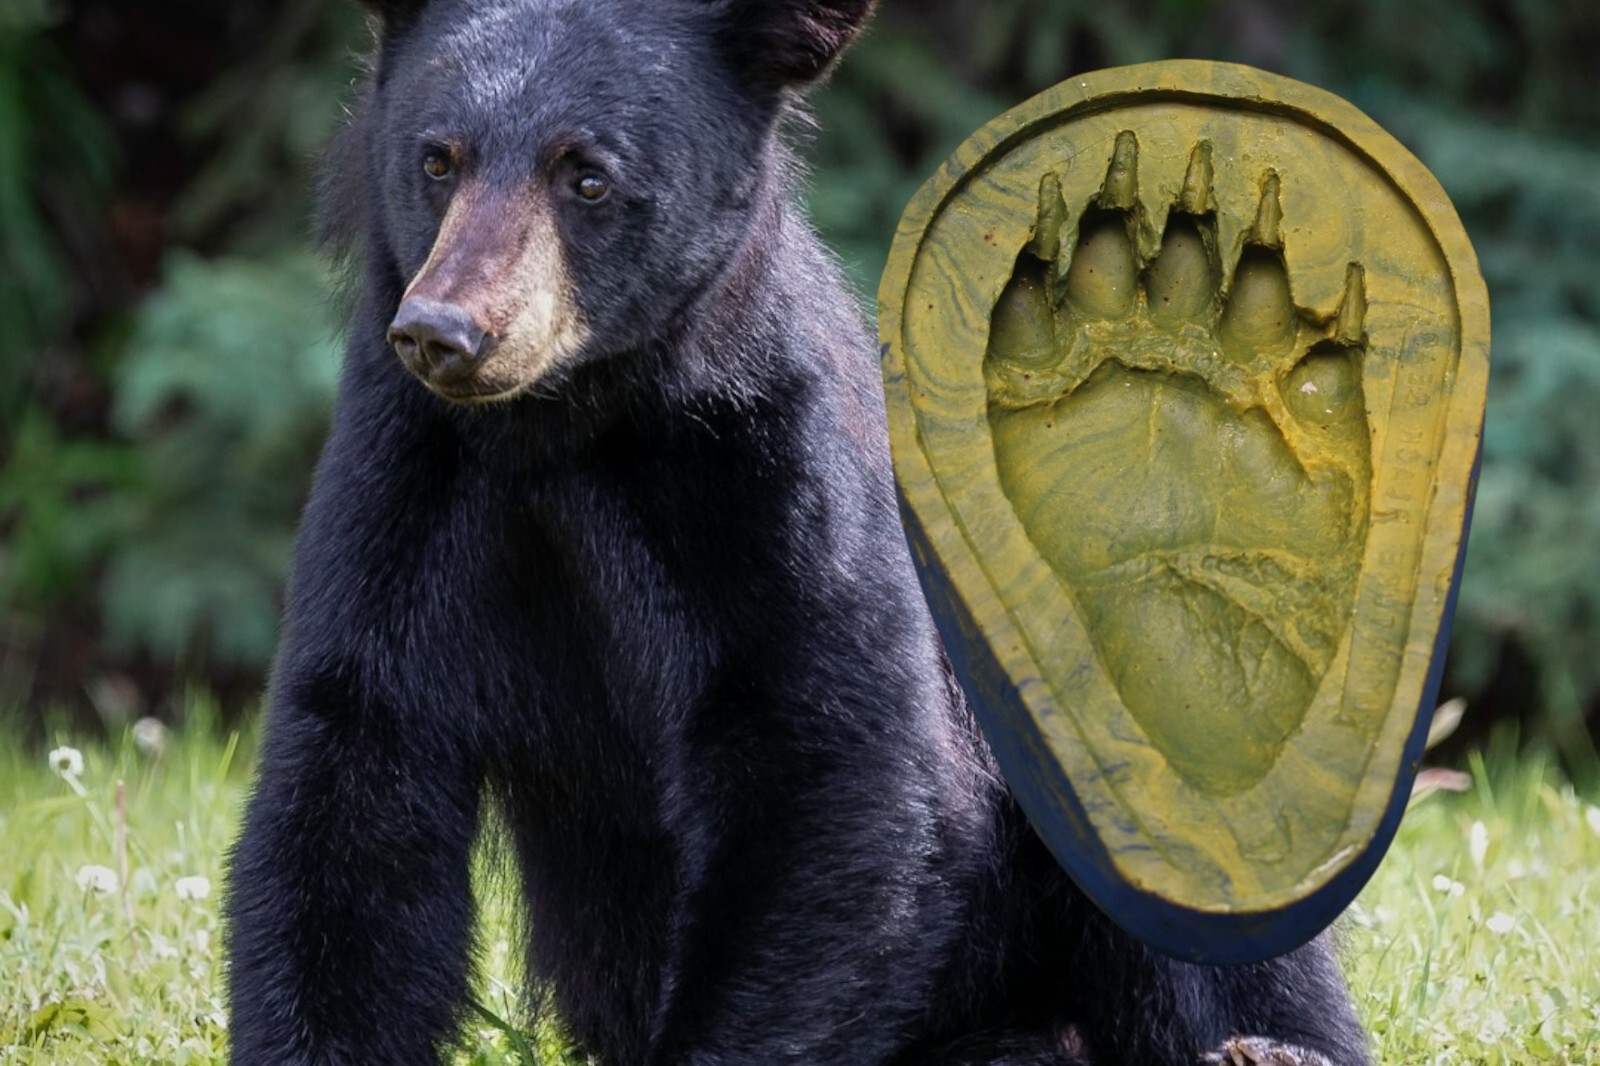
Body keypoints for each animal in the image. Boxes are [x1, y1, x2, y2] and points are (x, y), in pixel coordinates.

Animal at [223, 1, 1374, 1064]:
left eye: (586, 176)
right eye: (437, 157)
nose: (446, 331)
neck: (569, 431)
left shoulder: (775, 469)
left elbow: (832, 762)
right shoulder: (406, 482)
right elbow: (355, 775)